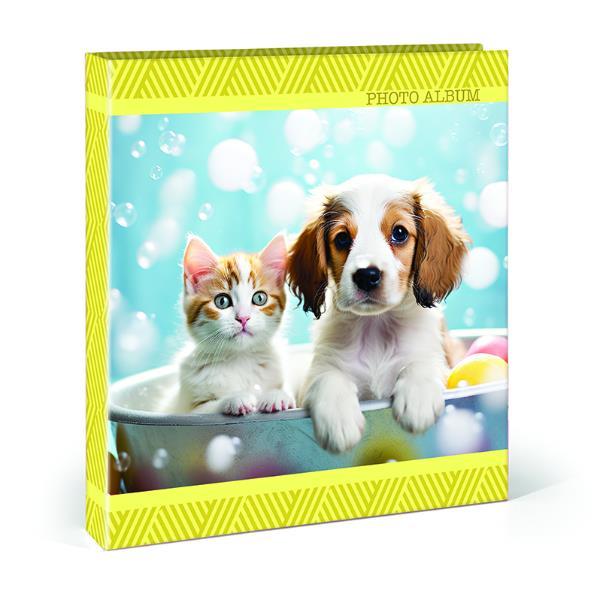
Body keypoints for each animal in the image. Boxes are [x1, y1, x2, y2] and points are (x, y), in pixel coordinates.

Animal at [171, 233, 295, 416]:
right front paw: (236, 398)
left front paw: (277, 395)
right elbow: (208, 407)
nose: (243, 318)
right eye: (222, 301)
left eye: (260, 298)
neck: (239, 358)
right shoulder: (188, 410)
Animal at [288, 174, 469, 453]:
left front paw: (418, 398)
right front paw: (338, 418)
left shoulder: (433, 355)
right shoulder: (322, 367)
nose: (366, 275)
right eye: (342, 238)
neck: (375, 325)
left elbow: (421, 364)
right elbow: (328, 379)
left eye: (399, 233)